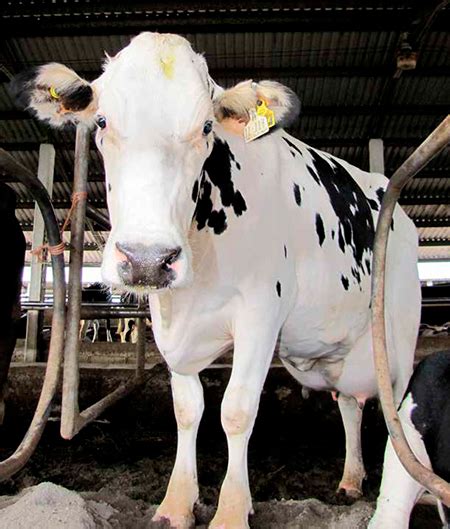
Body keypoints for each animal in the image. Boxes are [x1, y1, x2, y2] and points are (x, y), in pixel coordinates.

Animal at [13, 33, 422, 528]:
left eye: (207, 127)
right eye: (103, 121)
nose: (147, 260)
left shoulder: (261, 316)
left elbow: (237, 411)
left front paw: (230, 511)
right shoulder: (170, 325)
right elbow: (187, 410)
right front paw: (176, 504)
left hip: (397, 336)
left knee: (394, 405)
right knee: (348, 403)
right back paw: (350, 478)